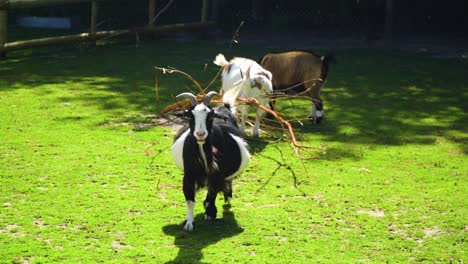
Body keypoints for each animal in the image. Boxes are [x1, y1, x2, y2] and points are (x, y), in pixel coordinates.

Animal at [172, 91, 250, 231]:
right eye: (190, 116)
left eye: (210, 117)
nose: (200, 134)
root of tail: (224, 107)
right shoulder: (189, 175)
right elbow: (190, 200)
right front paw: (189, 223)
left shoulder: (217, 175)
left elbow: (213, 193)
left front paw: (210, 213)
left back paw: (226, 197)